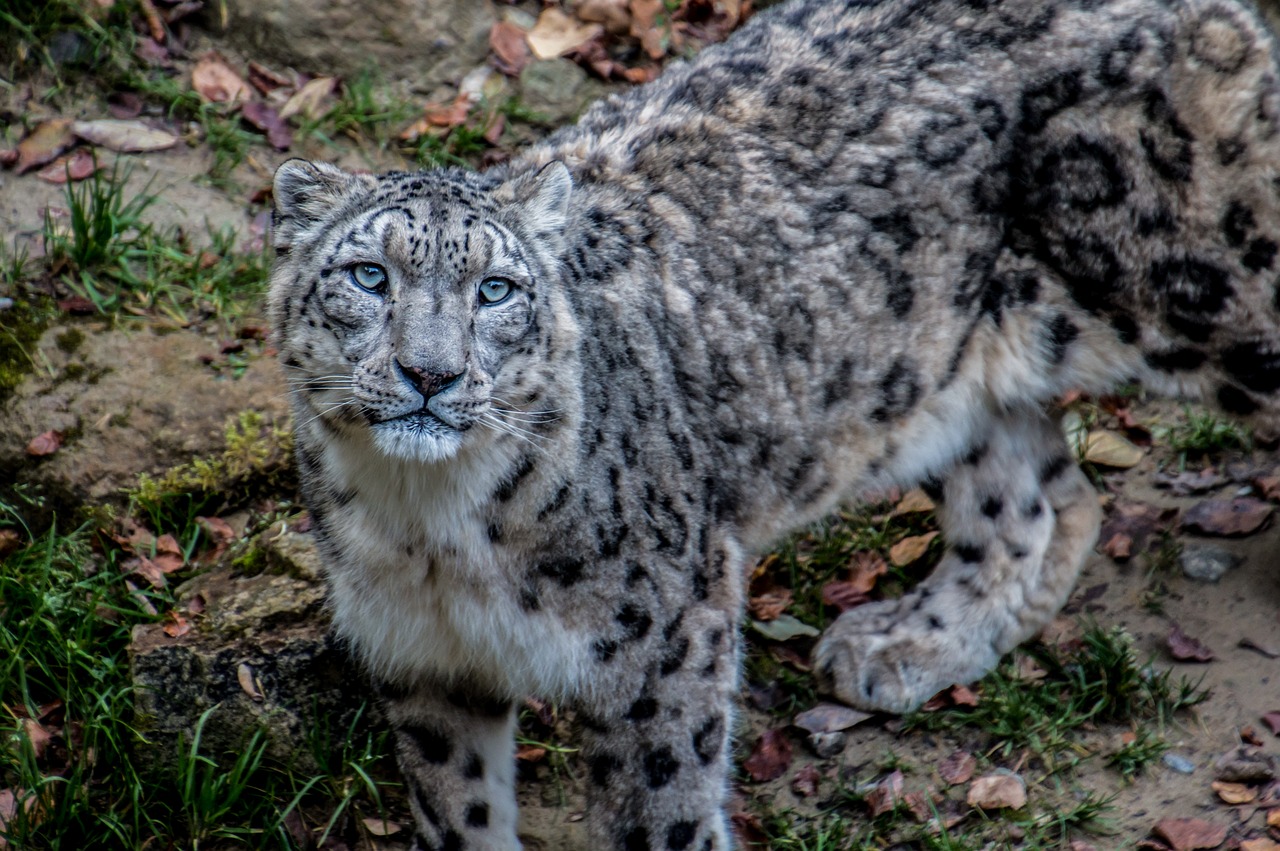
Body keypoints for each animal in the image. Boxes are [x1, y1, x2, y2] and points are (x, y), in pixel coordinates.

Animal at [264, 0, 1280, 844]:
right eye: (369, 275)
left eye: (496, 289)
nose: (429, 373)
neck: (432, 522)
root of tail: (1207, 15)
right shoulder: (420, 656)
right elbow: (457, 807)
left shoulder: (664, 640)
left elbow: (659, 805)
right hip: (932, 380)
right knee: (1039, 501)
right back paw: (909, 643)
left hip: (1200, 287)